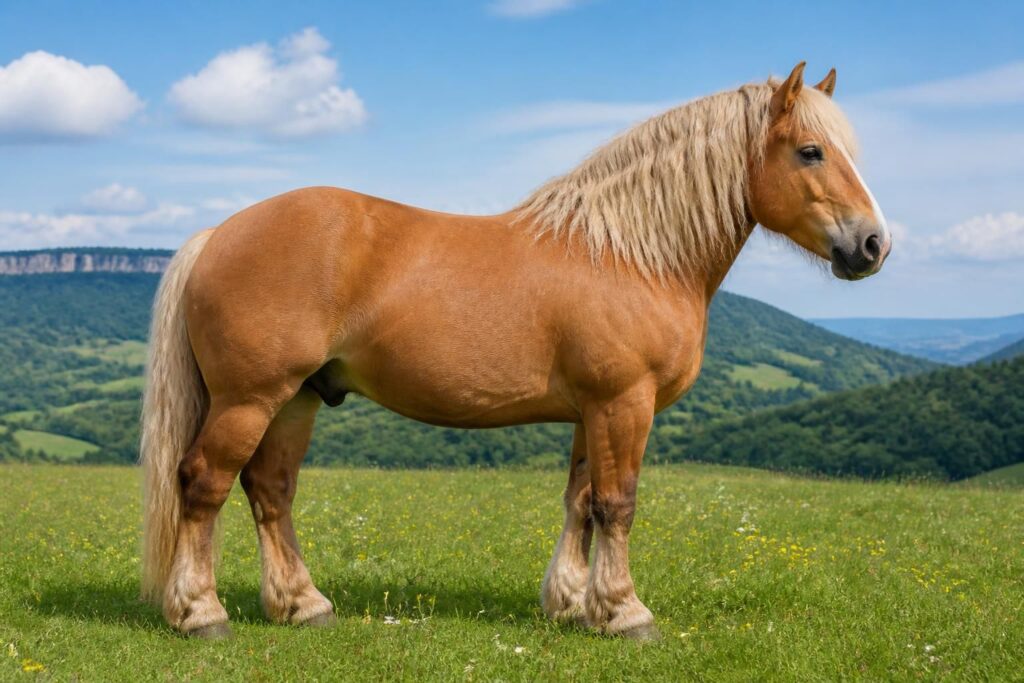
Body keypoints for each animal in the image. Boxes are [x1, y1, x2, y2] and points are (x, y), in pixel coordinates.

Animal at [140, 62, 891, 640]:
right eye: (811, 151)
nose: (873, 245)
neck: (629, 255)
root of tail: (217, 233)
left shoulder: (594, 410)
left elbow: (580, 501)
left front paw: (571, 604)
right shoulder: (624, 403)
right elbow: (617, 503)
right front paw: (624, 612)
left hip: (297, 399)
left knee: (271, 491)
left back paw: (303, 605)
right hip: (249, 399)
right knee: (203, 484)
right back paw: (201, 613)